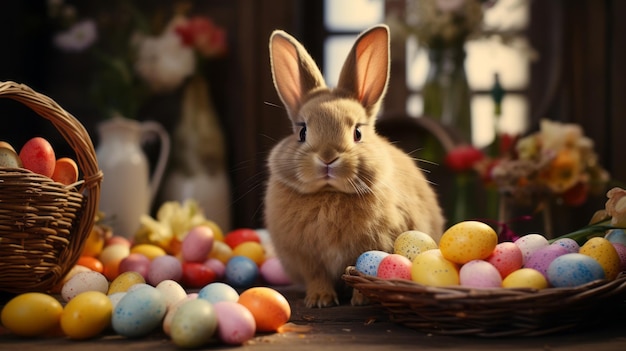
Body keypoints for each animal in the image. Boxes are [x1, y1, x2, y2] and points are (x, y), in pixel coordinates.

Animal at [264, 25, 444, 308]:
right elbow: (317, 277)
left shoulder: (370, 247)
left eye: (357, 132)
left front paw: (362, 300)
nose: (328, 157)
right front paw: (319, 300)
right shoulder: (307, 259)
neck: (330, 193)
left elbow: (360, 270)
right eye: (302, 132)